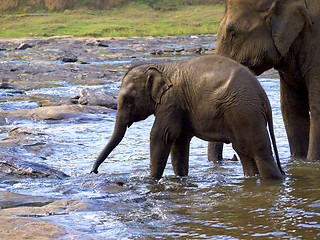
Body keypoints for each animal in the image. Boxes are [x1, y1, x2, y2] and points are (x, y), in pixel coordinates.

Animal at [91, 54, 284, 178]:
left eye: (128, 100)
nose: (94, 172)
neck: (159, 66)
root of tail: (262, 96)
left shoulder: (171, 101)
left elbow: (161, 135)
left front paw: (151, 181)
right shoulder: (179, 107)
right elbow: (179, 142)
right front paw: (181, 178)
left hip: (244, 113)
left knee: (259, 153)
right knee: (244, 152)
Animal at [215, 0, 320, 161]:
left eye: (233, 34)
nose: (231, 157)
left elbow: (316, 109)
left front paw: (311, 162)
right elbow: (291, 110)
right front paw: (298, 160)